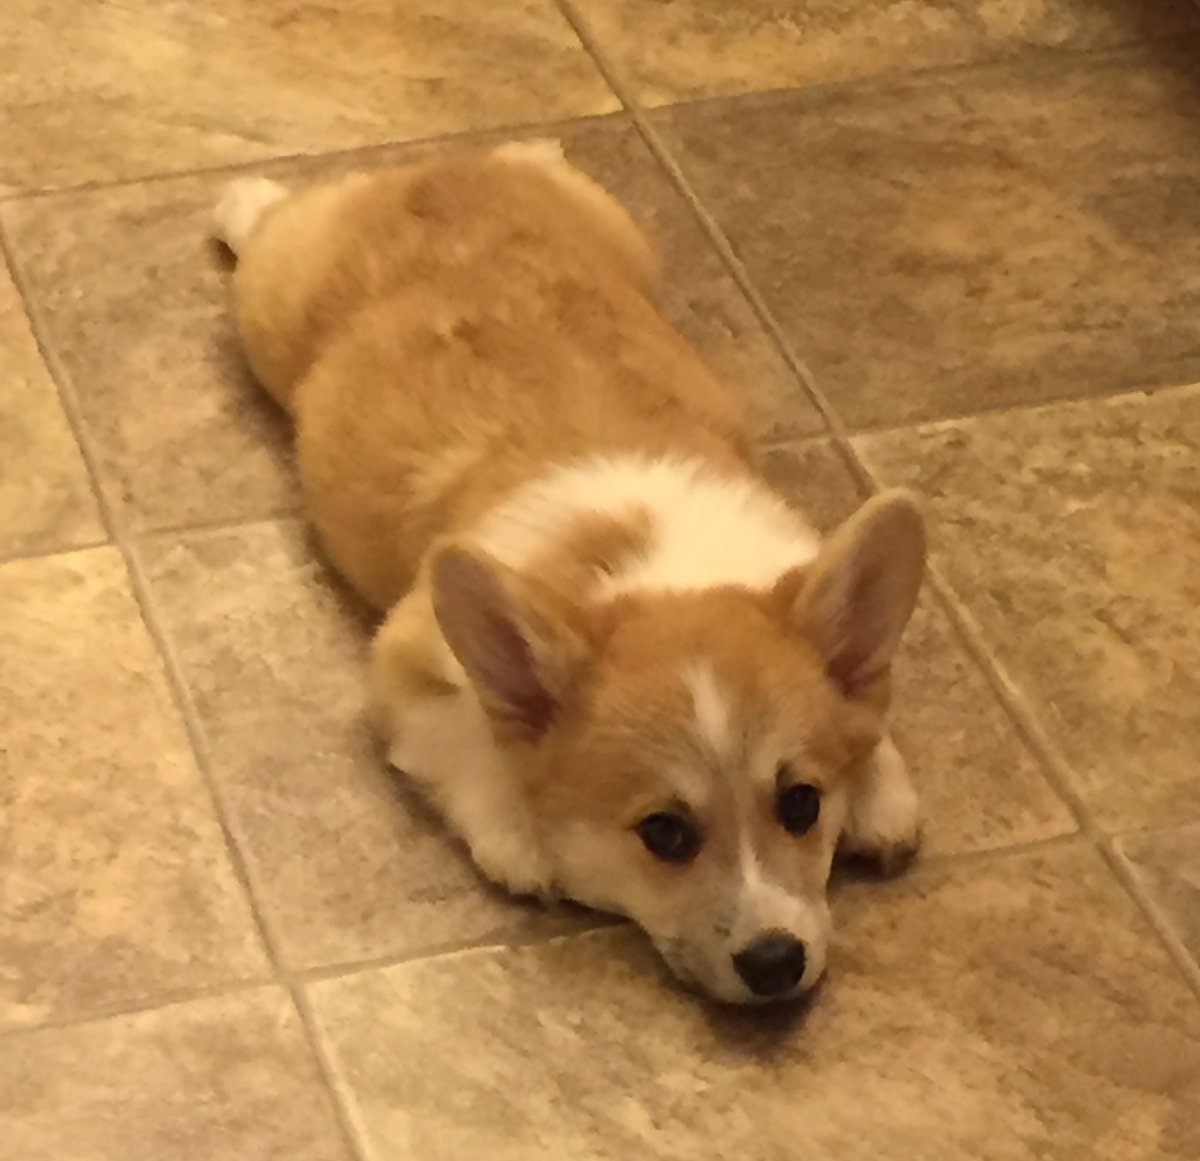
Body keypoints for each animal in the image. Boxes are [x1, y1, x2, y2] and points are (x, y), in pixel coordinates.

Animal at [213, 140, 926, 1002]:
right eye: (666, 832)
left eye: (800, 803)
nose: (775, 963)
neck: (663, 567)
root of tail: (443, 167)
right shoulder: (406, 660)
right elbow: (467, 744)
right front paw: (519, 836)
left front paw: (879, 793)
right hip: (271, 308)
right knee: (272, 223)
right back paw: (244, 197)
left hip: (627, 237)